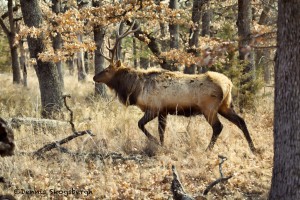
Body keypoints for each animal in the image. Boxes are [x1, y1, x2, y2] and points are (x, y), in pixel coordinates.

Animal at [93, 21, 255, 152]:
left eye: (107, 69)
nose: (95, 77)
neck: (135, 89)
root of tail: (228, 84)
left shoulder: (154, 108)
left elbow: (141, 124)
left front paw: (155, 142)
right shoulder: (163, 111)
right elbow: (161, 131)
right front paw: (162, 145)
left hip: (209, 107)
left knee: (218, 127)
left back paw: (208, 149)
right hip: (225, 105)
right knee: (241, 121)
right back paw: (253, 148)